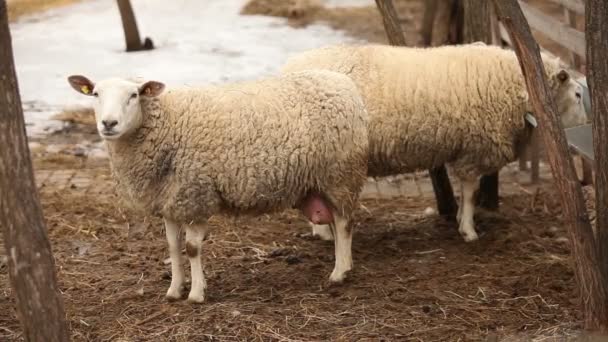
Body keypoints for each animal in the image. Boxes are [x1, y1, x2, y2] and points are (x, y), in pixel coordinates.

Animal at [68, 69, 368, 302]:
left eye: (134, 95)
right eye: (95, 94)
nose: (109, 123)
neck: (166, 124)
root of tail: (344, 82)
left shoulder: (196, 195)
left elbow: (192, 249)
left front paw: (196, 294)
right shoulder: (170, 201)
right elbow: (172, 247)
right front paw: (174, 290)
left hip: (340, 174)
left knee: (344, 223)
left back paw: (339, 273)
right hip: (324, 180)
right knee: (336, 222)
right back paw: (346, 264)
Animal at [282, 42, 588, 243]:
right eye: (577, 95)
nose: (582, 131)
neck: (518, 84)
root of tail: (288, 68)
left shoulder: (467, 148)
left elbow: (467, 191)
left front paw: (461, 220)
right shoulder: (475, 147)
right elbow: (471, 191)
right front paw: (468, 230)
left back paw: (321, 230)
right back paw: (323, 231)